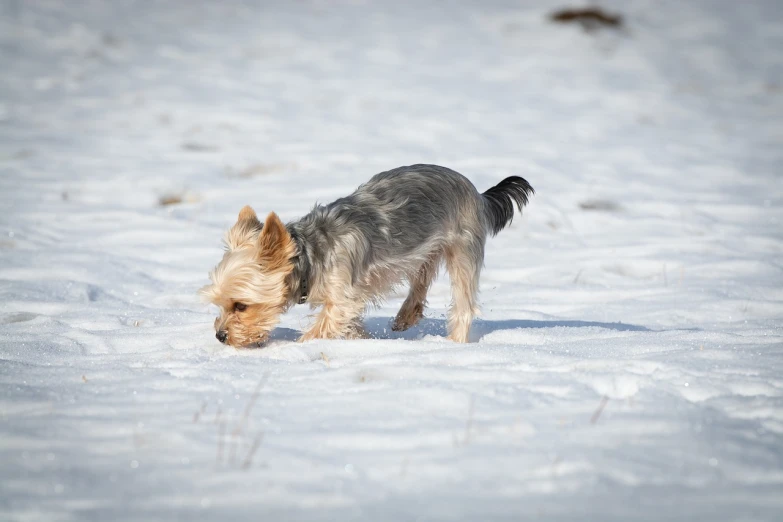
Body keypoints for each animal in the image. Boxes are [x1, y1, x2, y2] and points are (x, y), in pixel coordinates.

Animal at [199, 165, 536, 348]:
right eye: (220, 304)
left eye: (241, 305)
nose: (219, 336)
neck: (310, 255)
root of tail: (478, 194)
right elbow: (350, 325)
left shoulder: (341, 297)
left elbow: (323, 326)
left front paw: (298, 349)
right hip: (424, 245)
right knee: (422, 277)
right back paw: (405, 316)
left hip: (462, 247)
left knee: (463, 303)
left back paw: (452, 345)